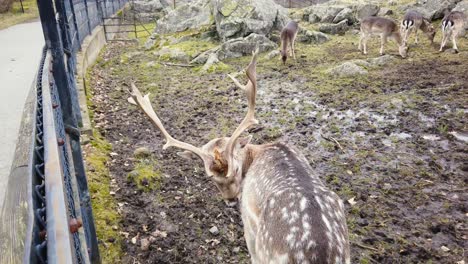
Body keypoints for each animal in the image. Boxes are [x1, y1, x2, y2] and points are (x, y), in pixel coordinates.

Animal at [126, 49, 350, 262]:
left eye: (235, 168)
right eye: (210, 177)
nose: (232, 199)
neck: (258, 152)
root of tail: (318, 252)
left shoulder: (248, 222)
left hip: (264, 247)